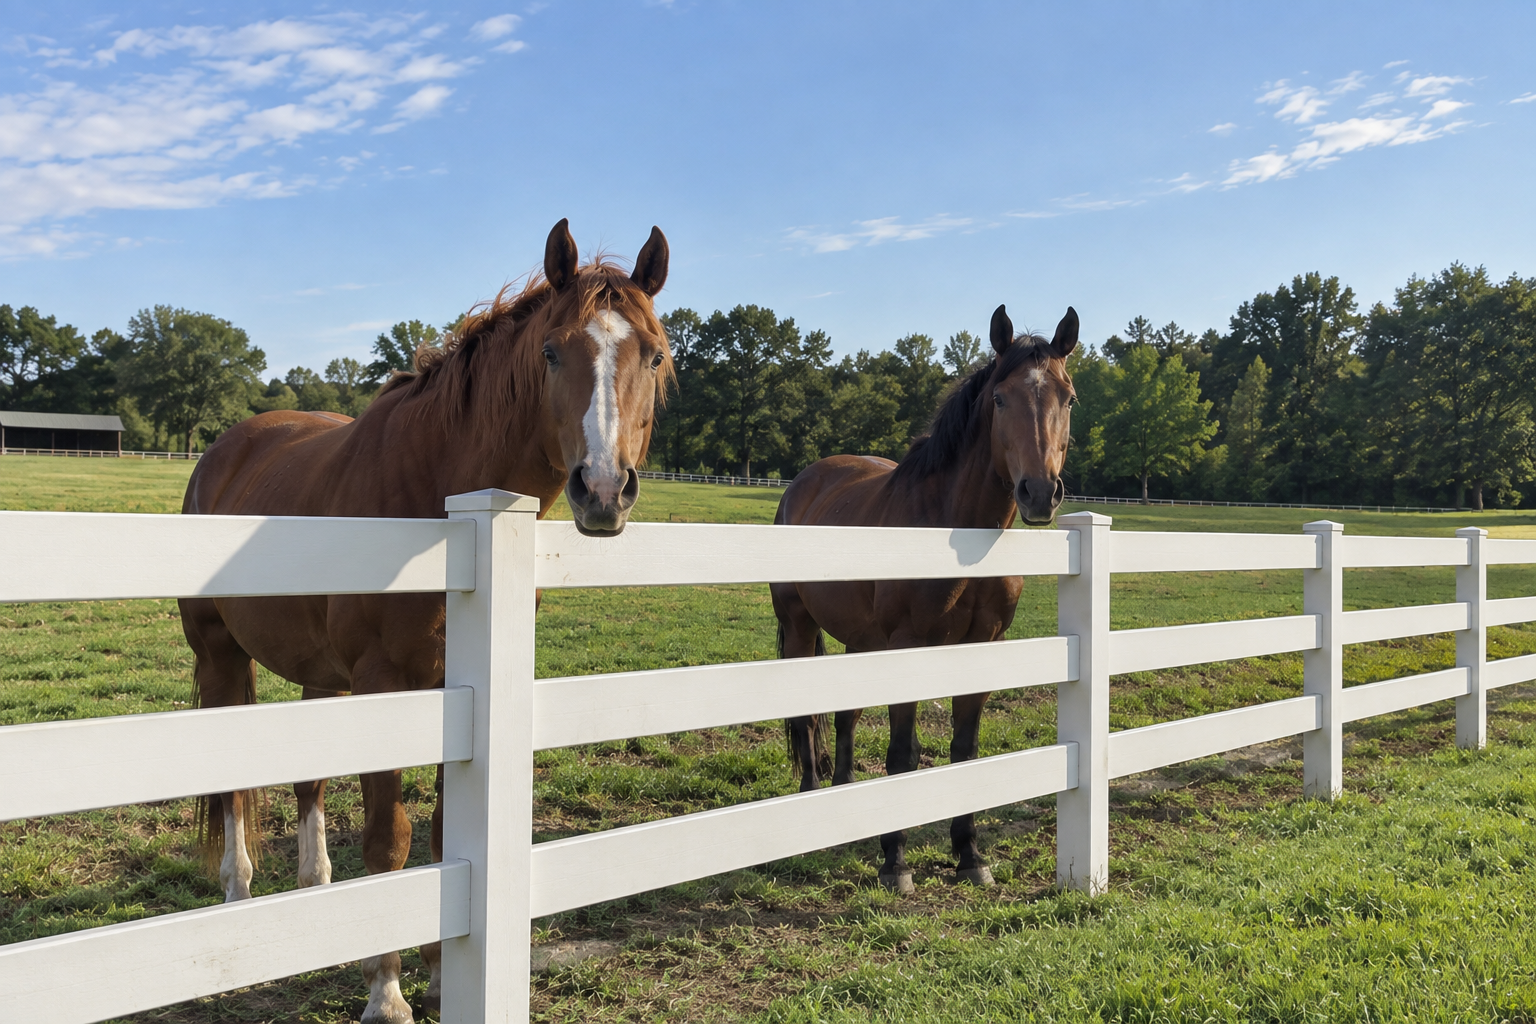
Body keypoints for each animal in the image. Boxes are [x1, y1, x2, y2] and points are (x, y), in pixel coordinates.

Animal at [179, 219, 672, 1024]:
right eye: (552, 350)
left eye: (654, 355)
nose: (602, 490)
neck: (442, 506)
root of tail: (224, 448)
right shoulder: (387, 685)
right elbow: (389, 841)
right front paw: (387, 994)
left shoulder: (451, 690)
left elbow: (445, 835)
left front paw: (444, 974)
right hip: (219, 655)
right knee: (234, 787)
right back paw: (237, 897)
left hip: (323, 679)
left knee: (309, 783)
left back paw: (313, 894)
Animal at [769, 303, 1077, 893]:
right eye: (1000, 398)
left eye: (1067, 397)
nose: (1039, 493)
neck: (955, 533)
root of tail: (806, 480)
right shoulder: (909, 646)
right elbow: (903, 756)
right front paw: (896, 863)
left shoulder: (980, 648)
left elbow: (964, 752)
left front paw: (970, 854)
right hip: (799, 626)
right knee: (806, 719)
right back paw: (813, 805)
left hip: (862, 642)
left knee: (844, 716)